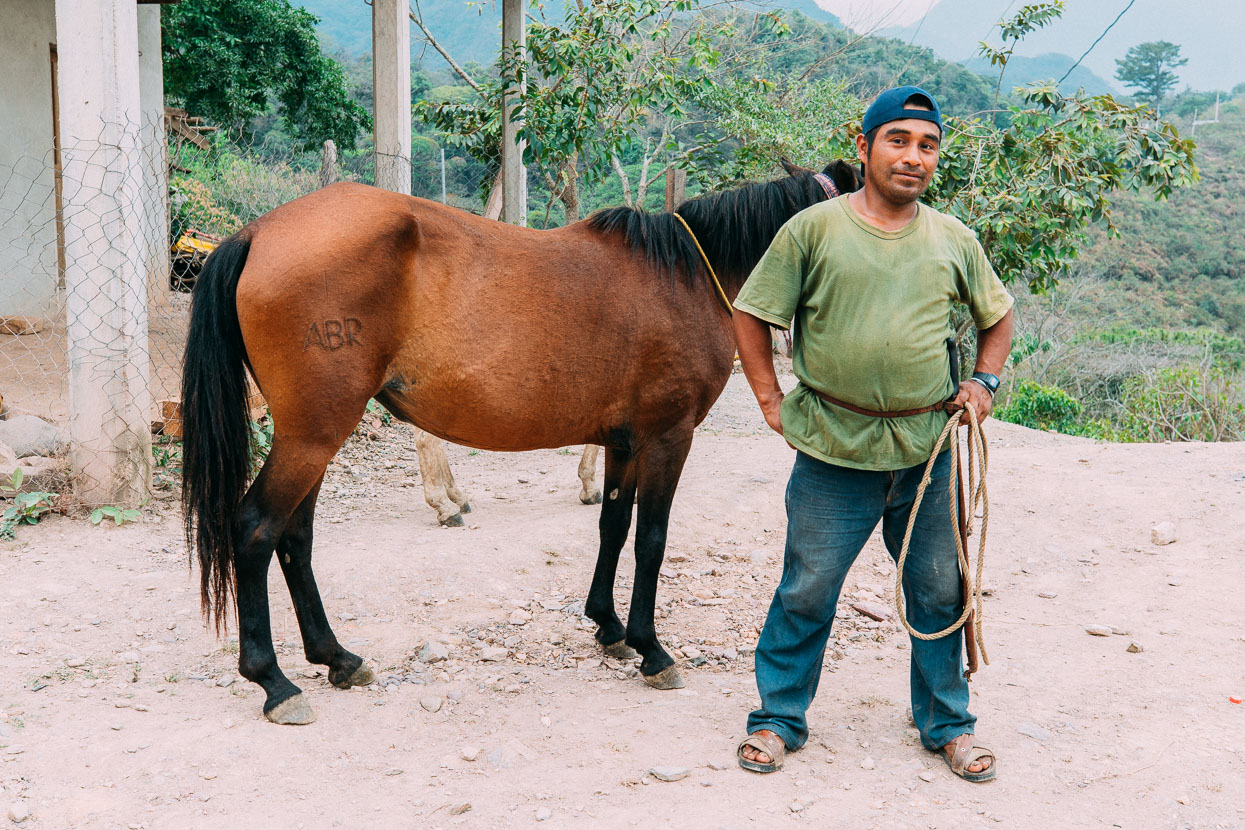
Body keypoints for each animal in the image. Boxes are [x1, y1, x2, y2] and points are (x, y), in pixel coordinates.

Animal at [184, 159, 861, 721]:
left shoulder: (623, 442)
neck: (691, 278)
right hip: (313, 435)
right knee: (256, 529)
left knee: (294, 538)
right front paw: (650, 648)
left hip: (315, 437)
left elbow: (613, 525)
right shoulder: (668, 439)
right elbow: (651, 539)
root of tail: (258, 233)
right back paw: (273, 682)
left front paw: (608, 627)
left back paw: (337, 658)